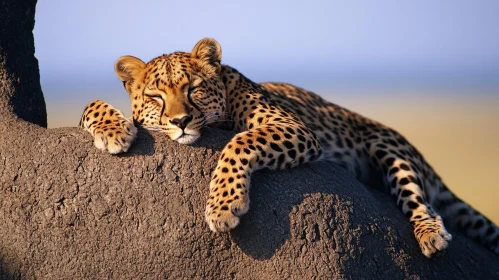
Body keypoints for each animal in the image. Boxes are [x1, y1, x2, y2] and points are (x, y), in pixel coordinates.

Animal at [79, 37, 499, 258]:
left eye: (193, 89)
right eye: (155, 96)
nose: (181, 121)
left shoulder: (295, 127)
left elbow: (239, 141)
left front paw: (223, 207)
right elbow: (90, 105)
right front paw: (113, 131)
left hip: (389, 147)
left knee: (419, 200)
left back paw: (430, 235)